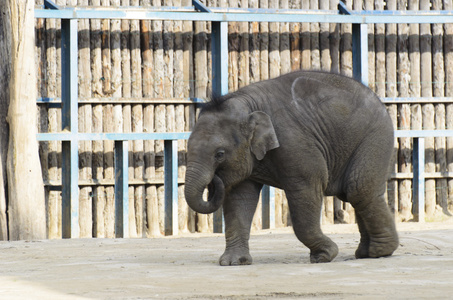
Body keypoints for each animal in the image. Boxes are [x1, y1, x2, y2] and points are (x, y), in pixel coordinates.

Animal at [184, 69, 396, 264]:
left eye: (219, 154)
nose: (214, 179)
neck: (247, 103)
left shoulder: (295, 143)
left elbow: (306, 189)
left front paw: (324, 256)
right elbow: (239, 197)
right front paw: (234, 262)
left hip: (375, 137)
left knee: (359, 190)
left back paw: (378, 252)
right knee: (354, 194)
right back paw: (366, 253)